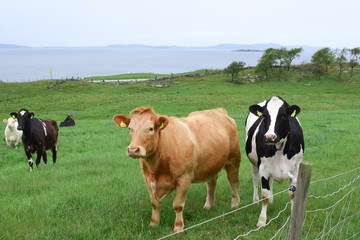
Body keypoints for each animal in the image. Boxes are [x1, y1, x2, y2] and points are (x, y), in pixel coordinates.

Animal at [245, 95, 304, 227]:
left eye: (283, 115)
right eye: (265, 116)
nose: (269, 137)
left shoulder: (296, 168)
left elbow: (293, 194)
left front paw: (293, 215)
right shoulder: (263, 167)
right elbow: (265, 195)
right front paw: (262, 220)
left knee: (271, 180)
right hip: (253, 162)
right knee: (255, 179)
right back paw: (255, 201)